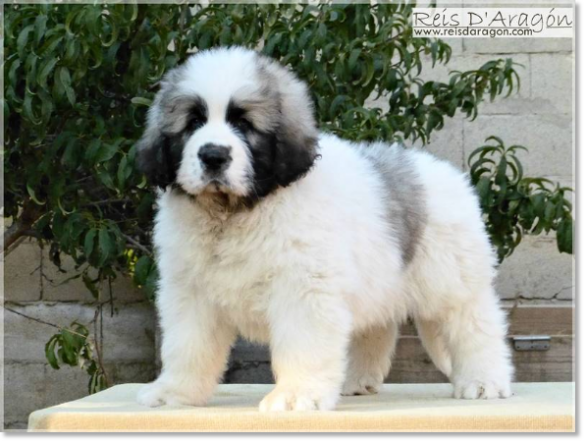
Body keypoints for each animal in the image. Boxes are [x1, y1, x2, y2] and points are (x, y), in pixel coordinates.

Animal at [136, 46, 512, 412]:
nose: (213, 155)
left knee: (474, 327)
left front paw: (296, 394)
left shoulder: (303, 287)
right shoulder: (190, 291)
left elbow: (302, 344)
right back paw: (355, 381)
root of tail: (442, 170)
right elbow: (187, 346)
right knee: (375, 330)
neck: (236, 213)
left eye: (243, 123)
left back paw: (484, 381)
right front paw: (175, 392)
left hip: (452, 280)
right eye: (193, 122)